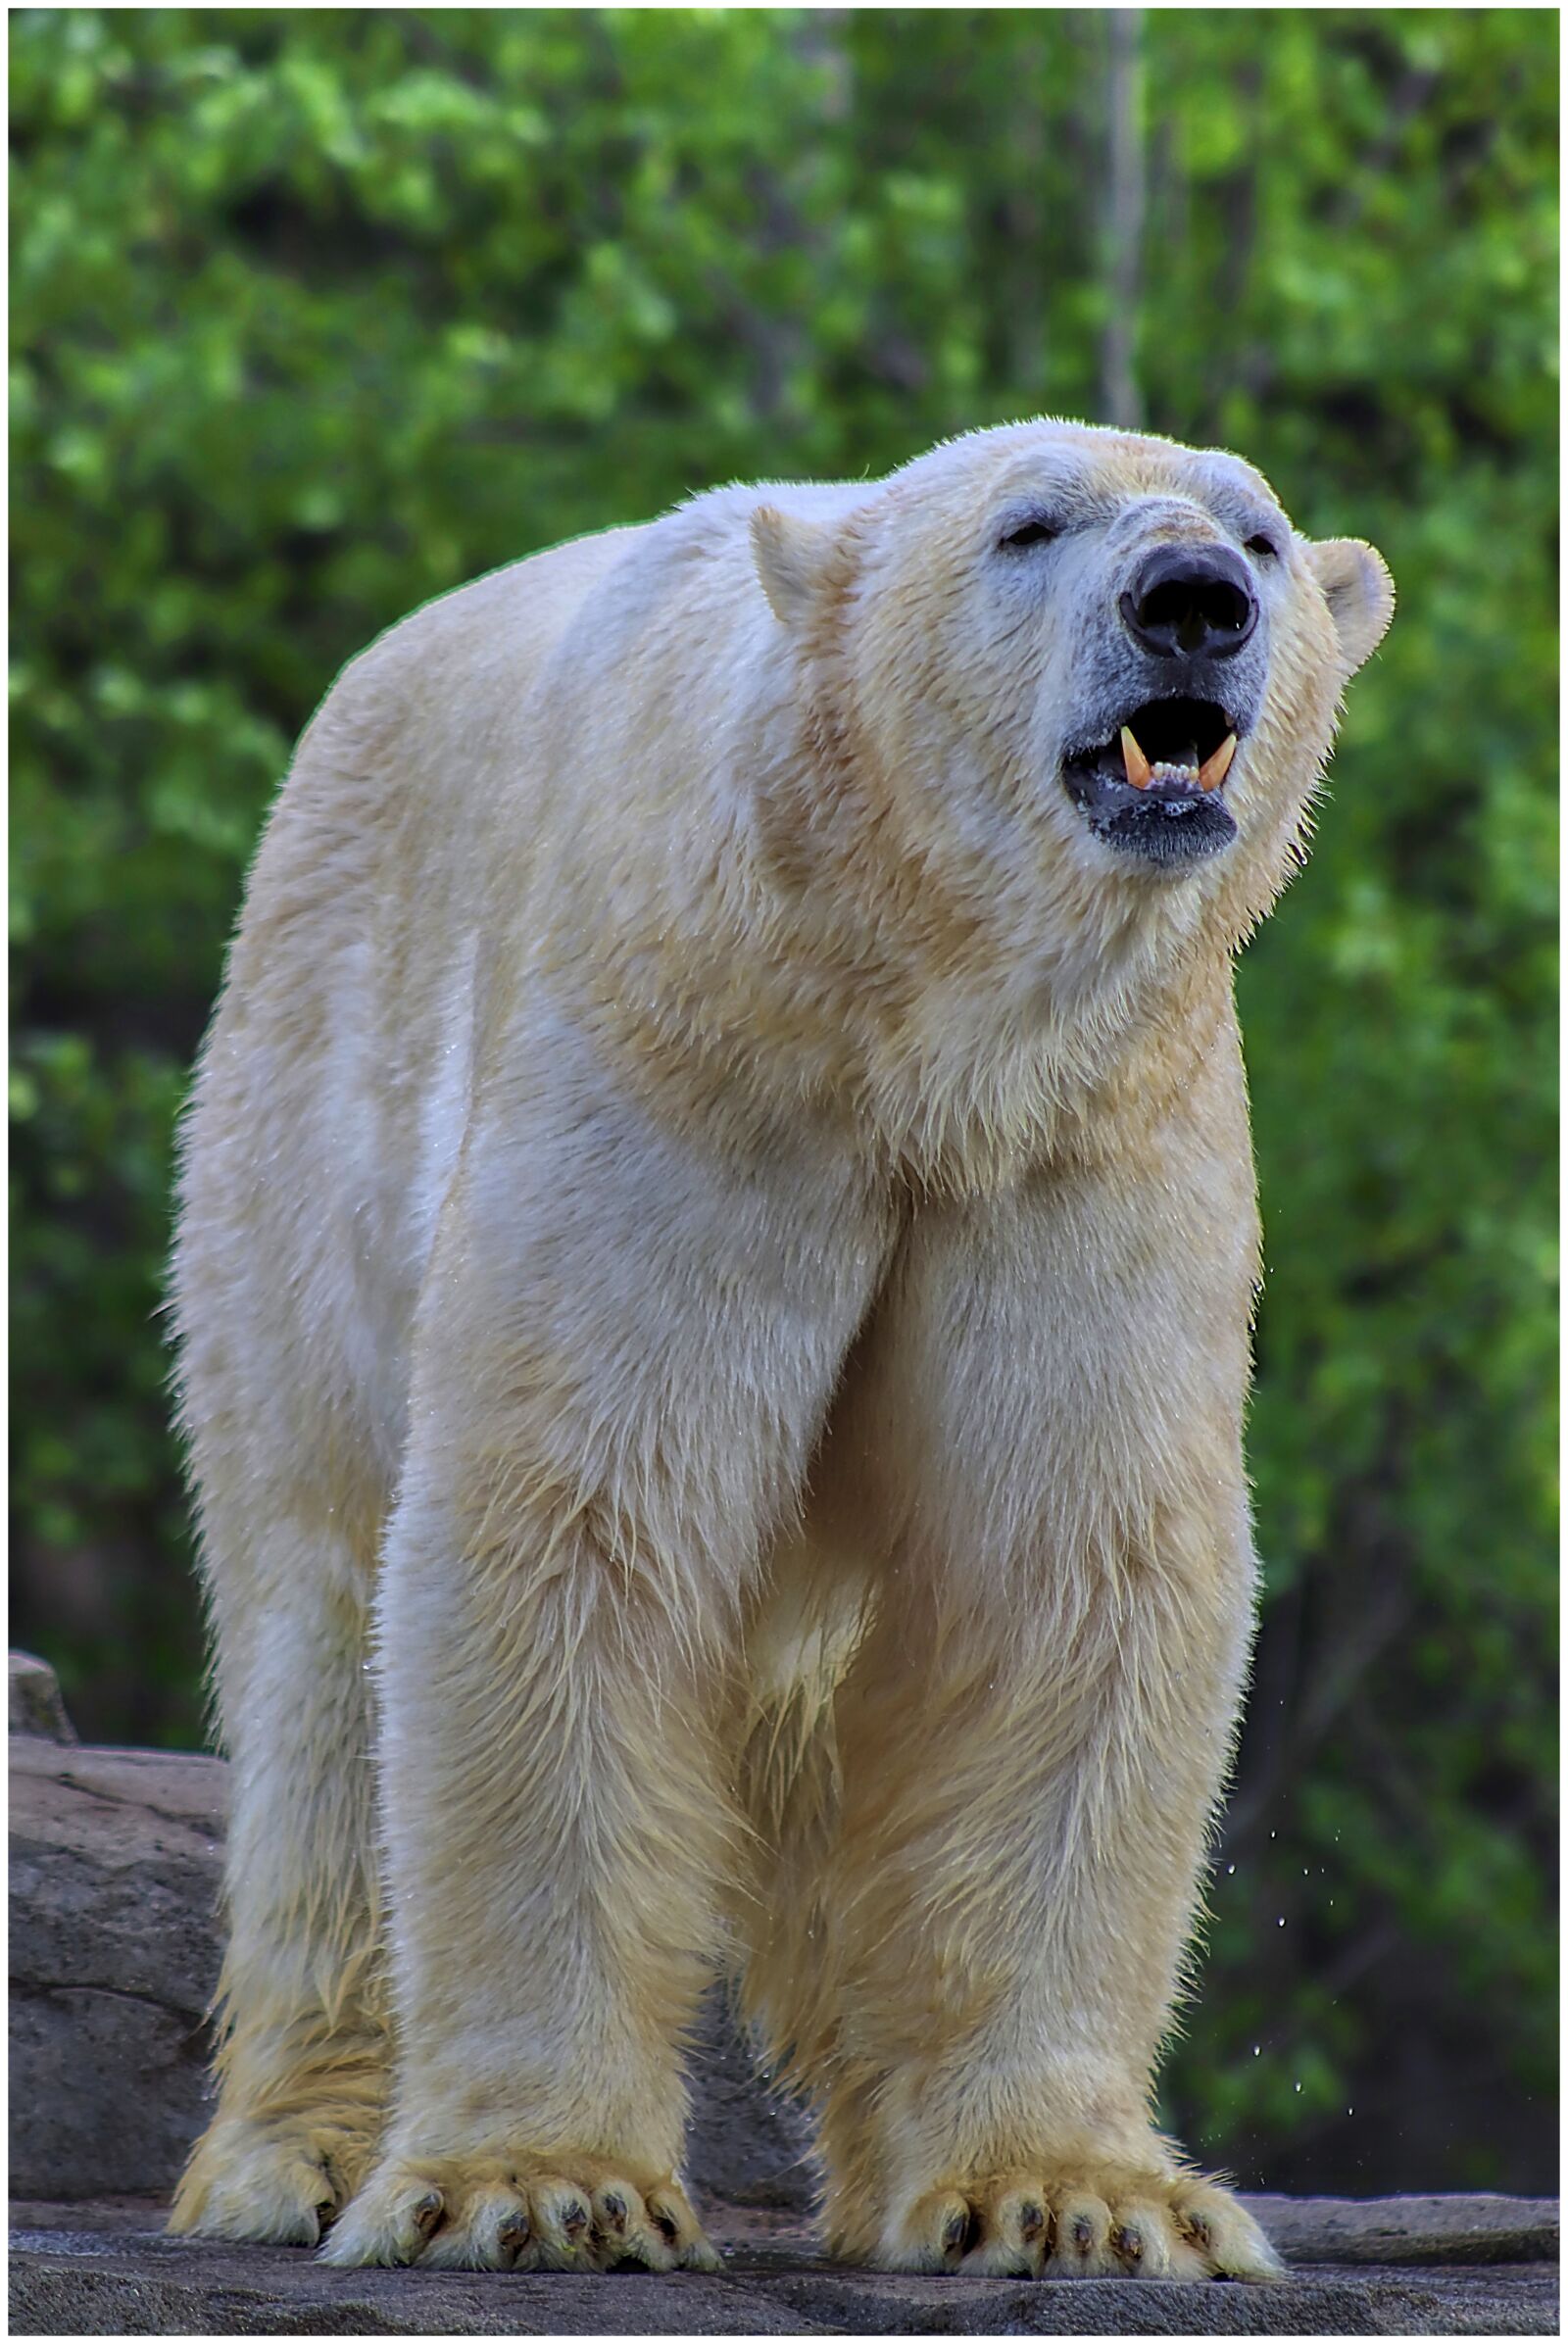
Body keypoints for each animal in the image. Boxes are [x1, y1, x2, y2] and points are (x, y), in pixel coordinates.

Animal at [167, 418, 1392, 2281]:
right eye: (1028, 526)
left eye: (1257, 532)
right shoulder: (686, 1059)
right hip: (301, 1128)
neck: (906, 1012)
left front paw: (1071, 2197)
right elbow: (577, 1519)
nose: (1192, 600)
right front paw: (547, 2187)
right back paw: (294, 2150)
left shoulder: (1081, 1139)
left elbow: (1067, 1568)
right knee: (318, 1633)